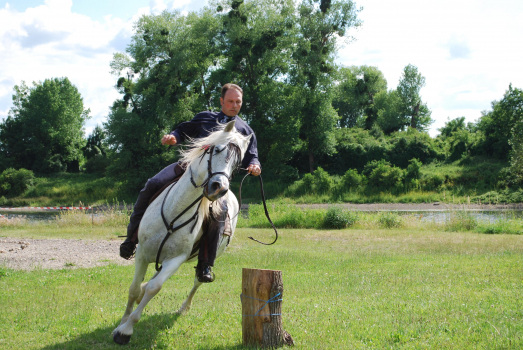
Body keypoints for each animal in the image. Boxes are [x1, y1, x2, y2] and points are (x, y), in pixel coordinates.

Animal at [112, 120, 252, 344]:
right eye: (217, 149)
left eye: (237, 164)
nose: (219, 188)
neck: (174, 212)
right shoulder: (142, 253)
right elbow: (134, 289)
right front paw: (122, 324)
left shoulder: (176, 260)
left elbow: (154, 288)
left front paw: (126, 330)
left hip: (205, 260)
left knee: (196, 281)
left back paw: (184, 307)